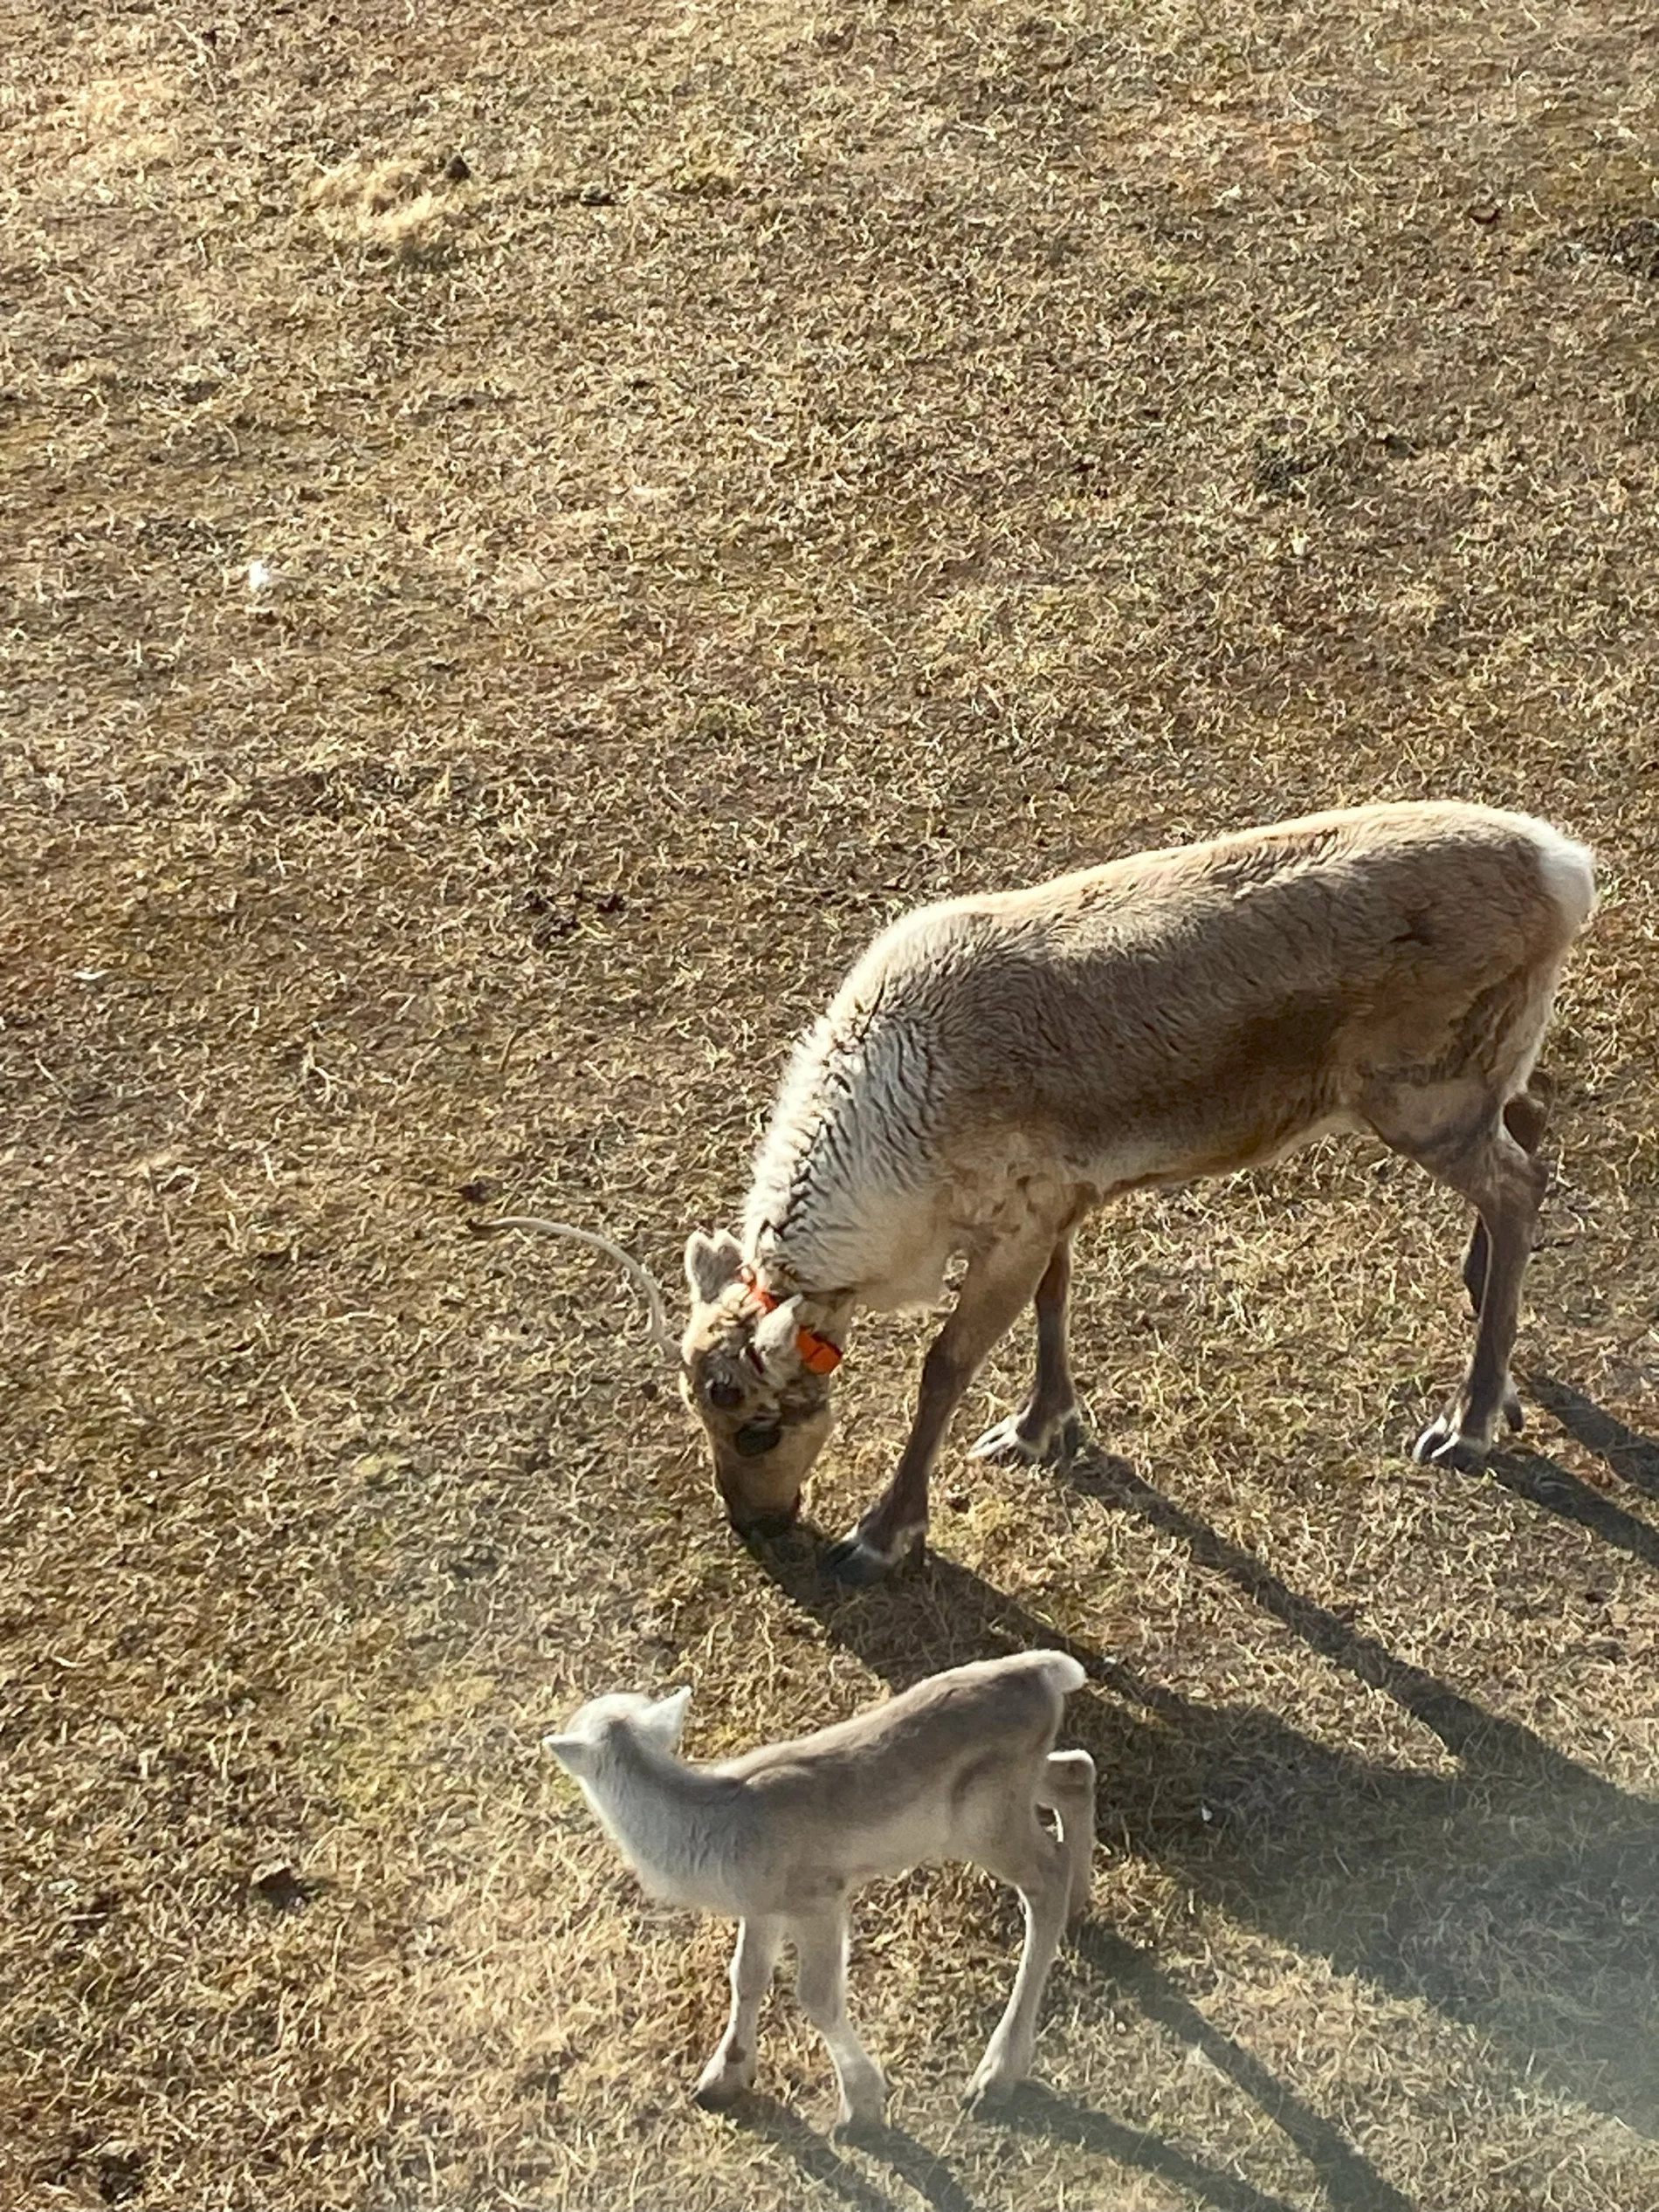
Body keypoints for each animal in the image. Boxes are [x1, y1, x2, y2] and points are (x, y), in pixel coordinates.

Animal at [484, 800, 1596, 1583]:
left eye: (756, 1421)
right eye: (699, 1411)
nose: (756, 1523)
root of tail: (1568, 869)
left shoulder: (1011, 1225)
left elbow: (942, 1366)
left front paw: (882, 1533)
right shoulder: (1048, 1203)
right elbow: (1055, 1301)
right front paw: (1040, 1426)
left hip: (1417, 1096)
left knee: (1518, 1181)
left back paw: (1469, 1415)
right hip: (1475, 1073)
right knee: (1534, 1122)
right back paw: (1484, 1322)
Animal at [542, 1651, 1096, 2129]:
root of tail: (1045, 1674)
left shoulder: (820, 1896)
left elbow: (817, 1995)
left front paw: (861, 2108)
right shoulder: (762, 1905)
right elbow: (746, 1975)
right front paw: (721, 2080)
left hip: (984, 1820)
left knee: (1045, 1878)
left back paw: (994, 2077)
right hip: (1013, 1791)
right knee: (1075, 1772)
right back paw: (1079, 1898)